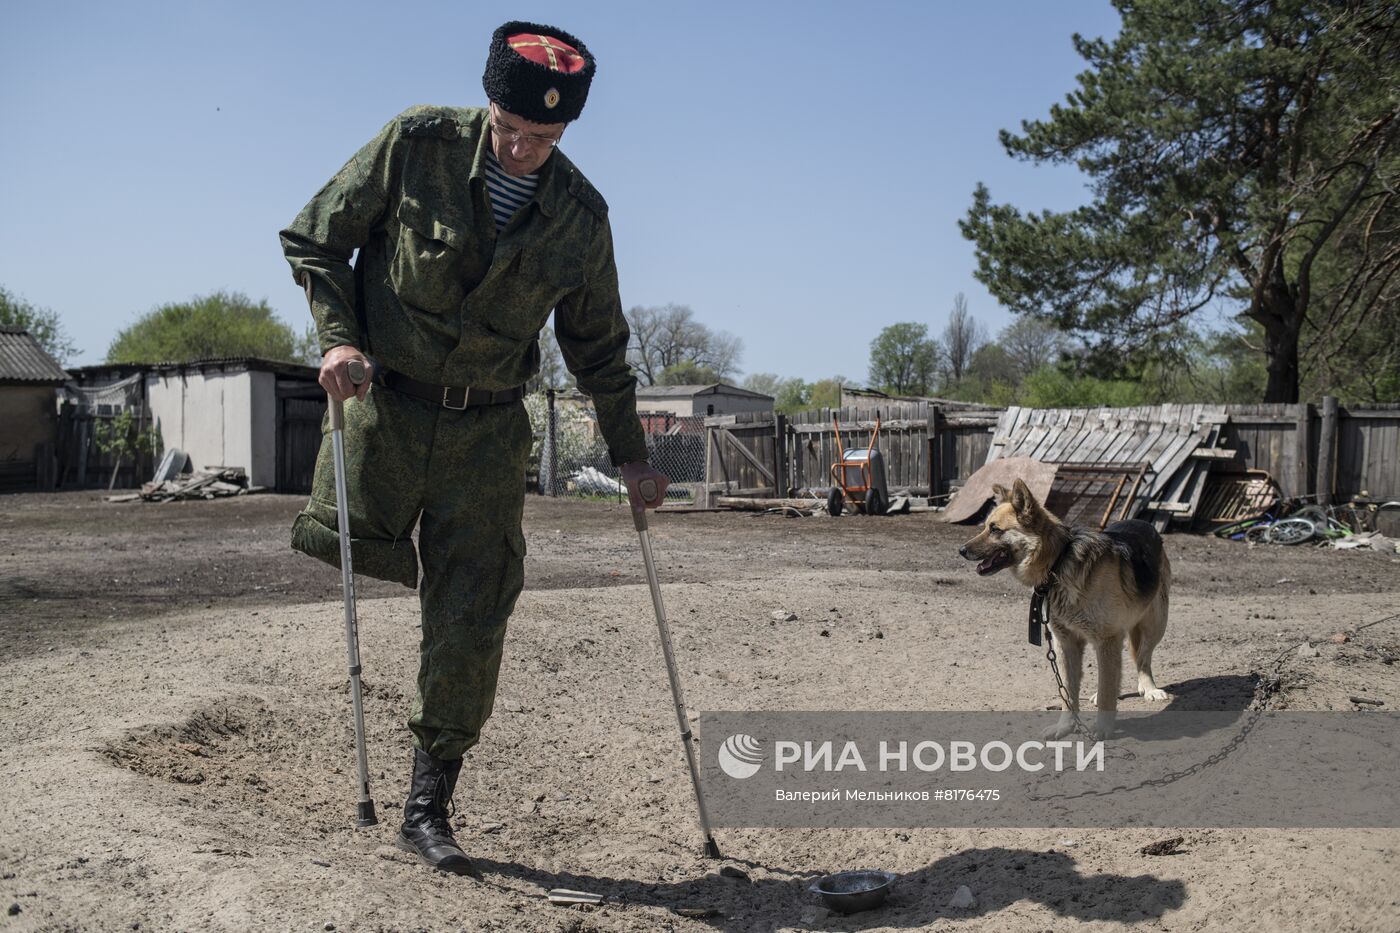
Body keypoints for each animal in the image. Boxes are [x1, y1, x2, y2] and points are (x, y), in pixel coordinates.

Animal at [963, 479, 1170, 734]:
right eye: (985, 527)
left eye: (995, 529)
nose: (961, 550)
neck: (1058, 563)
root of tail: (1145, 524)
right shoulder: (1066, 643)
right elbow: (1068, 693)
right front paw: (1066, 727)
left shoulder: (1106, 639)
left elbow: (1107, 689)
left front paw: (1103, 729)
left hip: (1155, 625)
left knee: (1142, 657)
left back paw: (1149, 688)